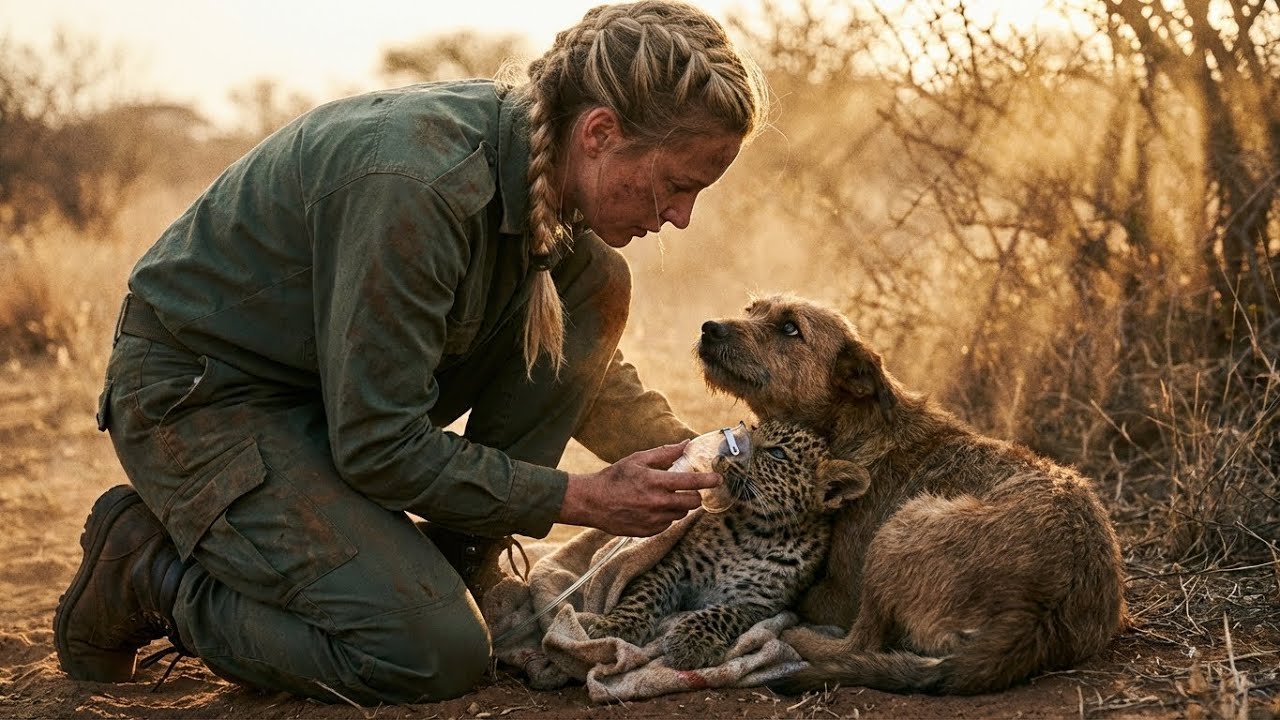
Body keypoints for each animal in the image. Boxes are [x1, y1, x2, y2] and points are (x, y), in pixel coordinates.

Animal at [581, 419, 868, 671]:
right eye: (753, 430)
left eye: (777, 453)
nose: (727, 447)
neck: (757, 532)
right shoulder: (674, 565)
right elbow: (646, 591)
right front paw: (616, 625)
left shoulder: (757, 604)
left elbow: (721, 614)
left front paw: (691, 642)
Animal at [696, 293, 1127, 695]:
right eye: (751, 309)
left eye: (789, 329)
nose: (709, 328)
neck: (853, 428)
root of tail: (1036, 612)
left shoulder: (841, 592)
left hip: (900, 529)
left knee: (860, 643)